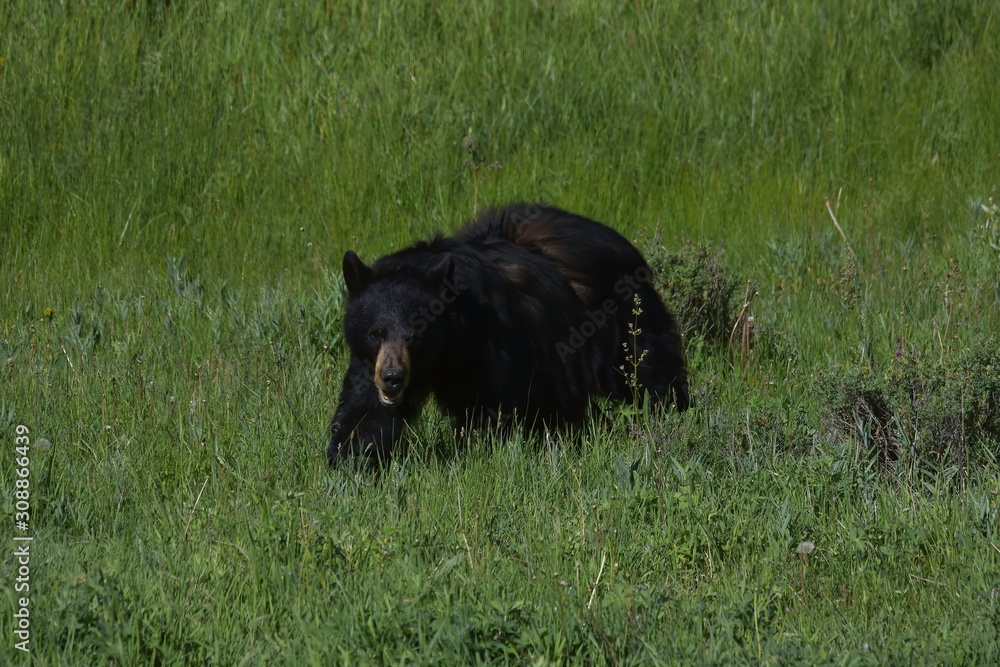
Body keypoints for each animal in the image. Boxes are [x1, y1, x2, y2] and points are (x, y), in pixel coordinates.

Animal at [327, 202, 689, 465]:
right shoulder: (370, 361)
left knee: (650, 370)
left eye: (415, 335)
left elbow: (493, 405)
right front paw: (351, 459)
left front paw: (475, 453)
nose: (393, 377)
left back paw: (674, 413)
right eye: (376, 333)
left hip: (626, 316)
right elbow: (365, 410)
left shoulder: (489, 341)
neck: (448, 345)